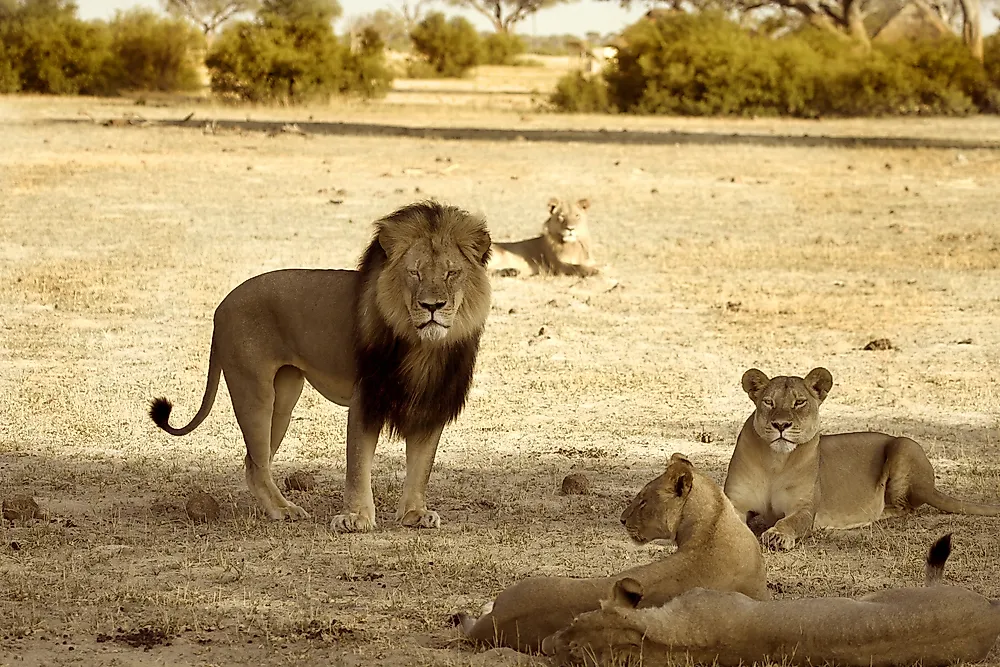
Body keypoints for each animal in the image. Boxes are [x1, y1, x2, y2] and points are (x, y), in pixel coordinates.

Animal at [149, 200, 492, 532]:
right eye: (415, 273)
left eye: (451, 273)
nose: (432, 306)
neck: (421, 345)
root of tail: (221, 306)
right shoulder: (365, 398)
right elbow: (358, 464)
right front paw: (355, 518)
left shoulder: (432, 400)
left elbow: (421, 466)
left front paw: (414, 514)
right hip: (254, 392)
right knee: (256, 463)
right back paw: (284, 509)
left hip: (284, 399)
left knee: (253, 461)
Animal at [728, 368, 1000, 552]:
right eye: (768, 402)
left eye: (799, 402)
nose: (781, 425)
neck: (775, 462)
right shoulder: (736, 502)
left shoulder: (803, 508)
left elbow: (792, 522)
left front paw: (776, 536)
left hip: (904, 444)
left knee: (905, 507)